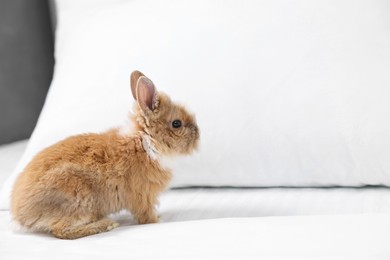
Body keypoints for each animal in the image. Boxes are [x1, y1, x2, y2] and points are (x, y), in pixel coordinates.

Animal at [10, 71, 200, 240]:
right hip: (79, 199)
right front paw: (158, 221)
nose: (198, 135)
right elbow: (146, 217)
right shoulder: (142, 198)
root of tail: (21, 215)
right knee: (61, 231)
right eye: (177, 123)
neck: (146, 142)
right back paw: (106, 224)